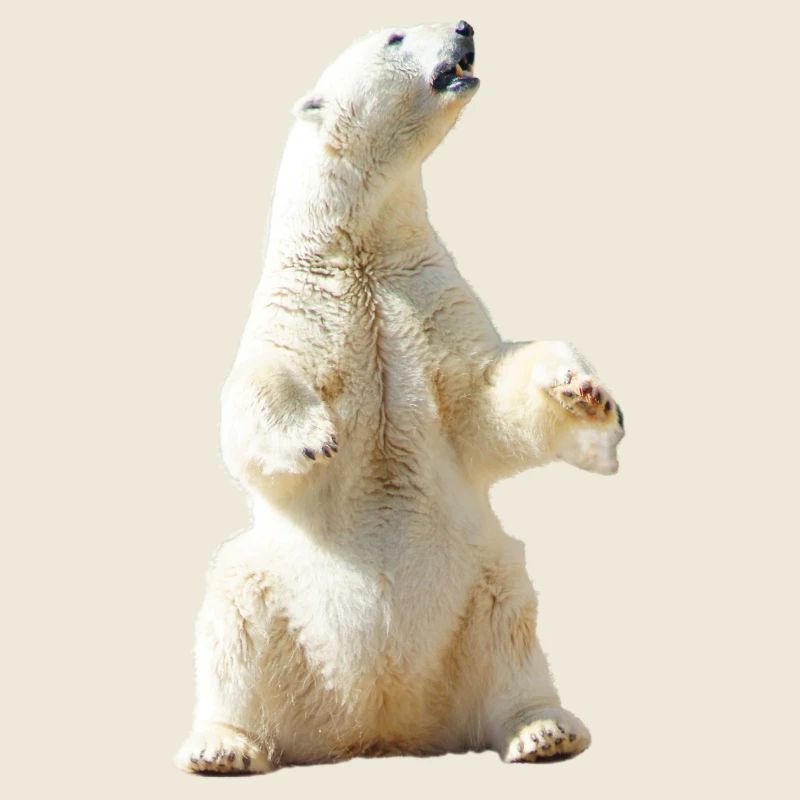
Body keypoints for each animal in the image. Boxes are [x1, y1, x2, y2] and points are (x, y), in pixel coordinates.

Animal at [175, 20, 624, 774]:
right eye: (394, 36)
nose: (466, 25)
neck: (361, 245)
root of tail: (381, 725)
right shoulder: (306, 304)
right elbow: (259, 391)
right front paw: (313, 437)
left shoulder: (426, 293)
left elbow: (483, 399)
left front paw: (587, 395)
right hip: (274, 598)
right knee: (234, 610)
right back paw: (223, 745)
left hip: (480, 588)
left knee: (513, 627)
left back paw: (542, 730)